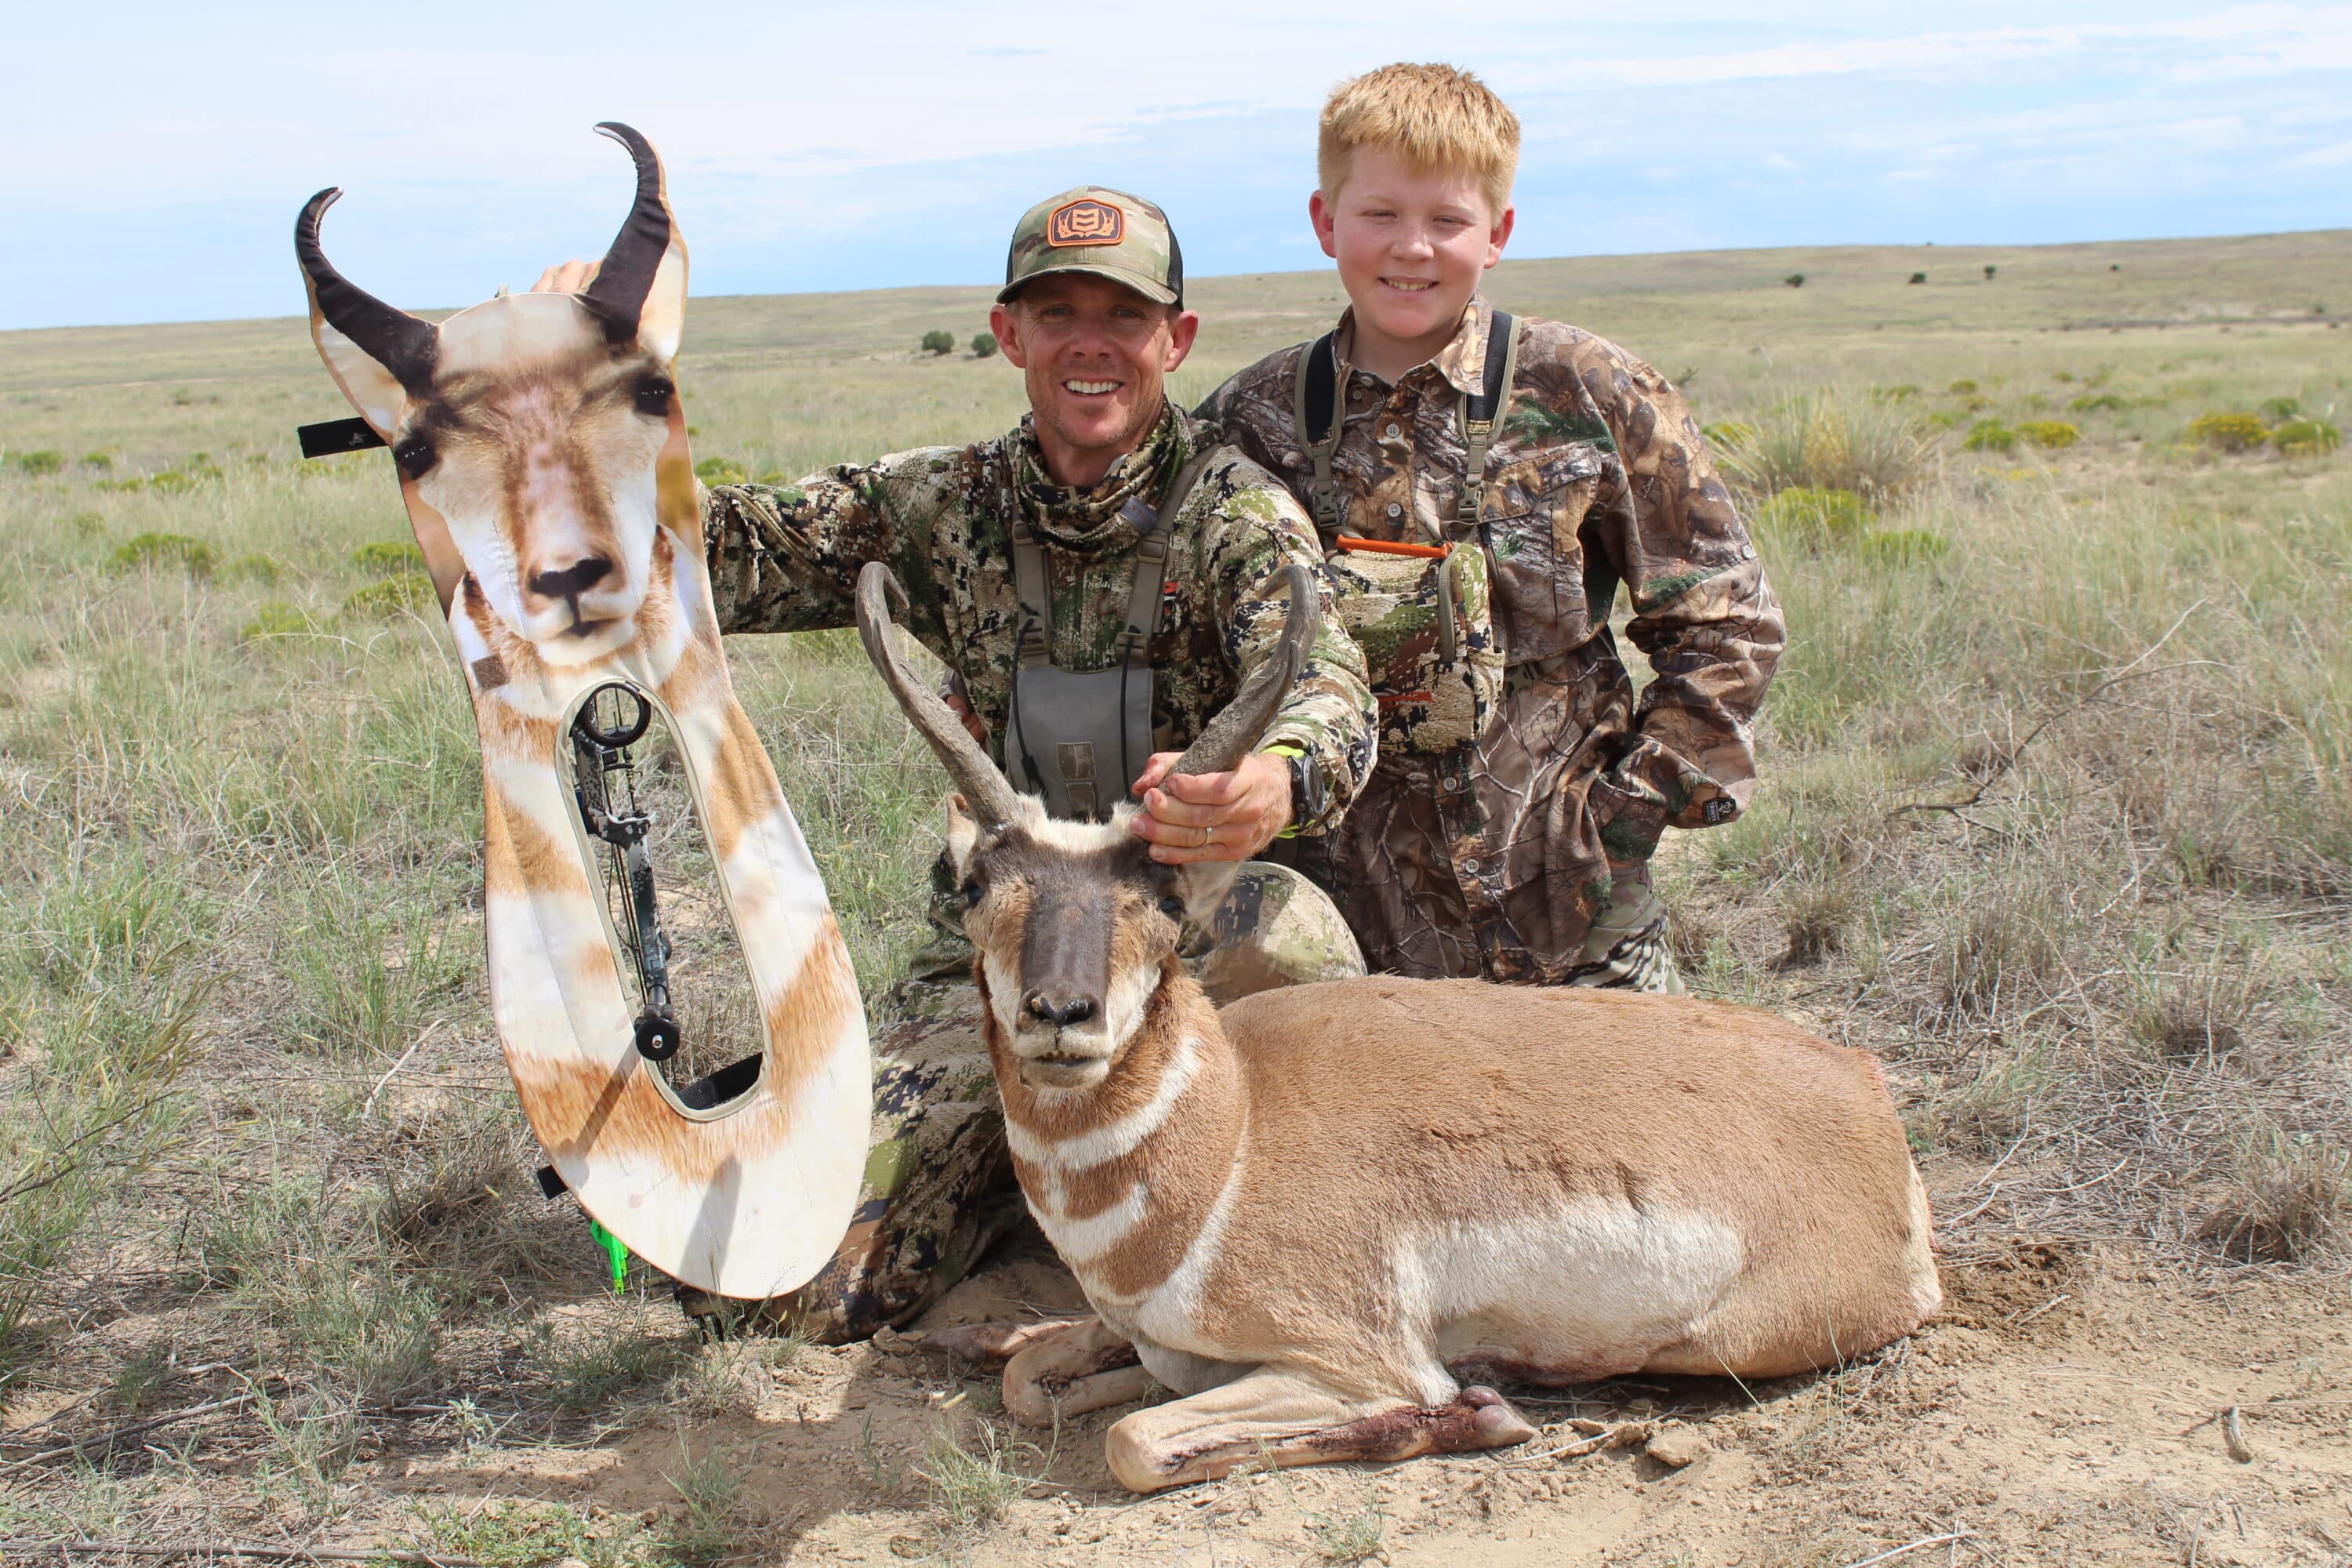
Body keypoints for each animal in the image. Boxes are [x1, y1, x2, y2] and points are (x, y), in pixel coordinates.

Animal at [856, 557, 1938, 1495]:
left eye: (1165, 898)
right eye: (978, 884)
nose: (1059, 1014)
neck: (1235, 1126)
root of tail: (1861, 1081)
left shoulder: (1351, 1359)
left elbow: (1136, 1439)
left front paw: (1478, 1411)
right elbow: (1031, 1376)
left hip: (1728, 1339)